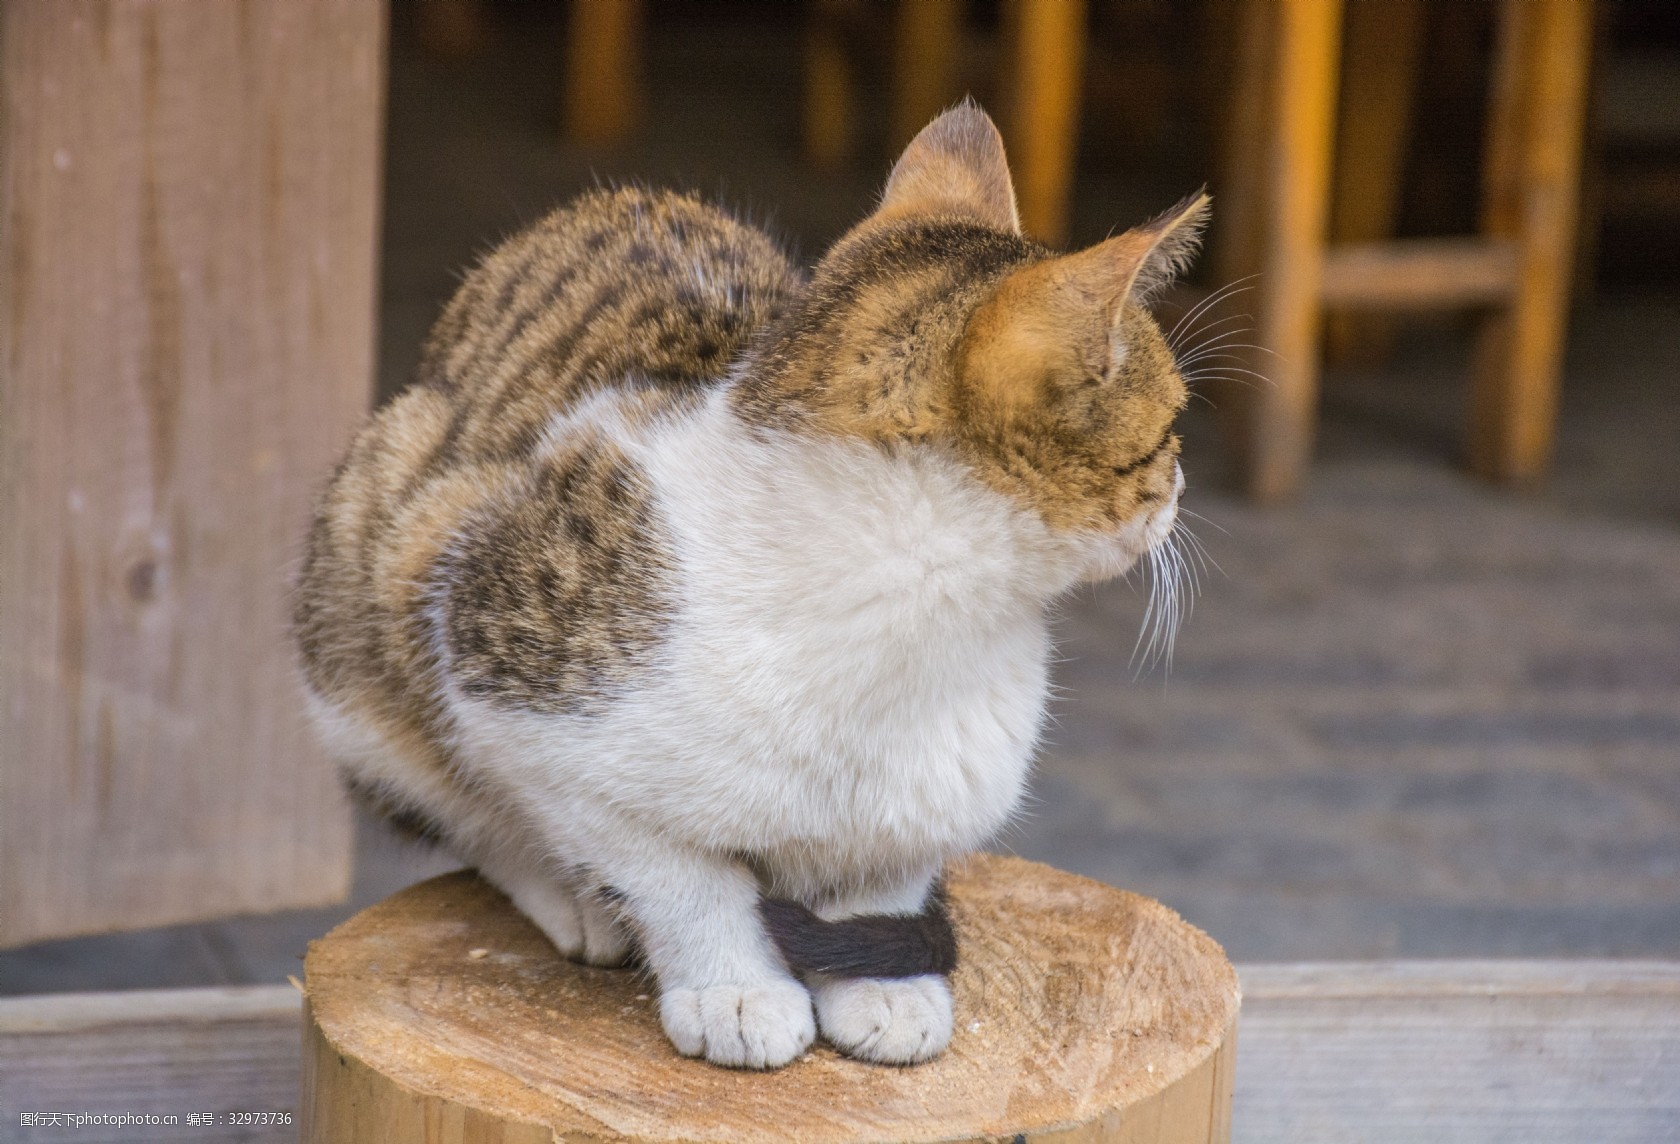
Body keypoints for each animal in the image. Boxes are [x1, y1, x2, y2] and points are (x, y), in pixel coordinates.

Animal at [292, 102, 1209, 1068]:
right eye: (1169, 431)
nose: (1184, 483)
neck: (910, 625)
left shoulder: (939, 785)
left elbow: (889, 867)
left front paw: (886, 987)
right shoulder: (507, 676)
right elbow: (677, 874)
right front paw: (734, 988)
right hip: (377, 571)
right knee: (466, 811)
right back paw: (577, 902)